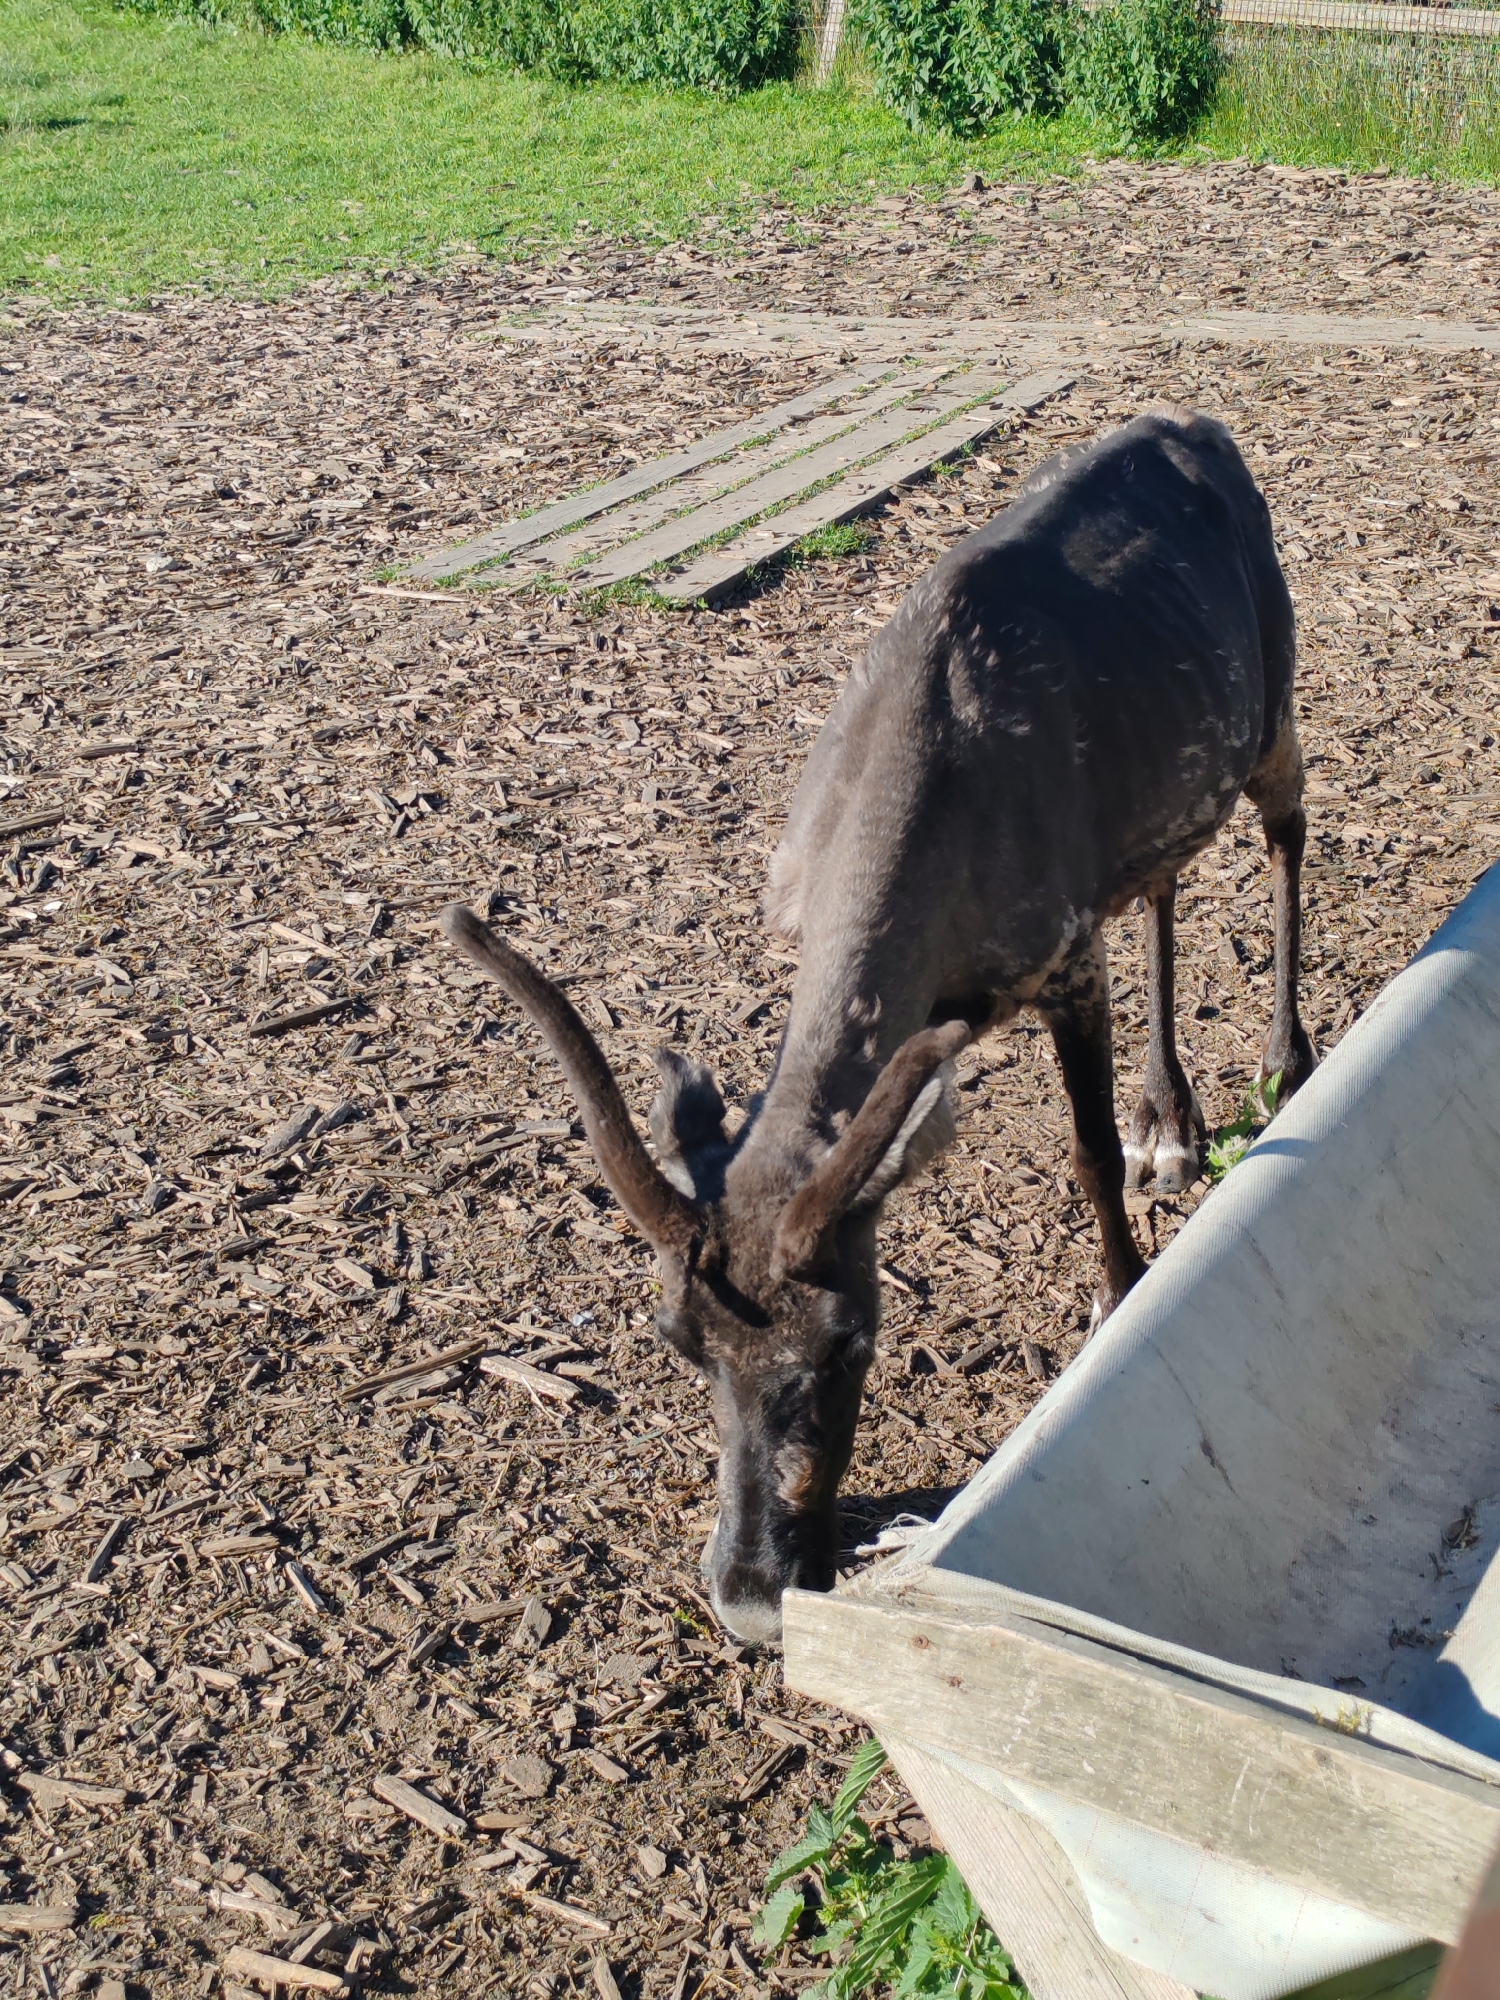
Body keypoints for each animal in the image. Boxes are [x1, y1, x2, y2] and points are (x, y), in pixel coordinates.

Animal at [439, 405, 1316, 1646]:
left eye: (848, 1337)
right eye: (678, 1340)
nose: (752, 1597)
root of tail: (1197, 426)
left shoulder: (1061, 950)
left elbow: (1086, 1153)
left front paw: (1120, 1296)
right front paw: (1149, 1145)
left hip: (1272, 697)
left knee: (1289, 827)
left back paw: (1285, 1062)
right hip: (1163, 794)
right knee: (1163, 880)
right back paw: (1172, 1120)